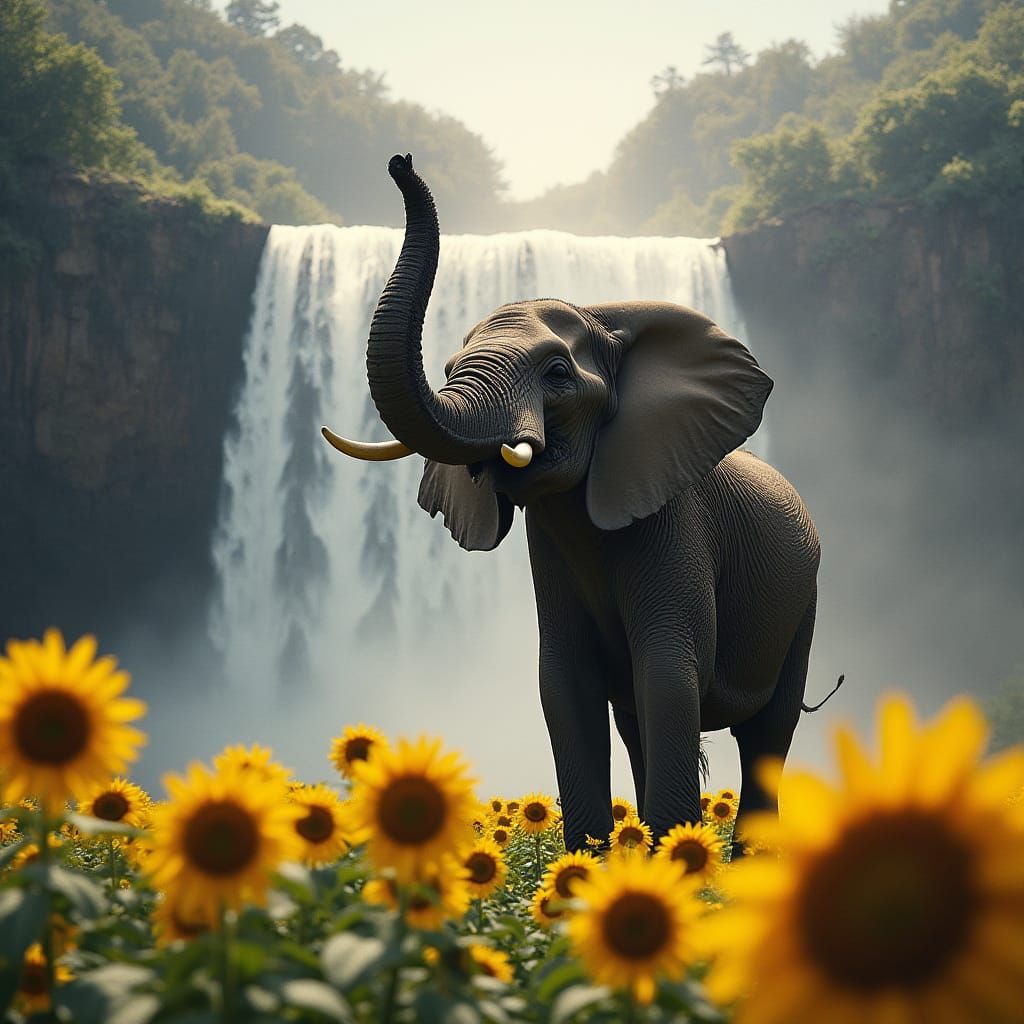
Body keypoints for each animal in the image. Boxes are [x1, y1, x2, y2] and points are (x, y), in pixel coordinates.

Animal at [322, 154, 823, 852]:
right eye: (447, 369)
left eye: (557, 373)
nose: (401, 161)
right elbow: (564, 685)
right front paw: (594, 862)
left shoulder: (676, 523)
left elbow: (669, 673)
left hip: (803, 598)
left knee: (767, 734)